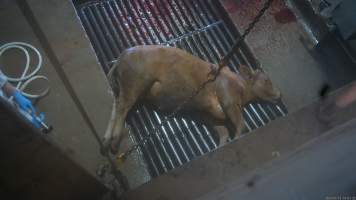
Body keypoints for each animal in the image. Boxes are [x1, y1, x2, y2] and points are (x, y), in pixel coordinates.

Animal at [103, 45, 280, 153]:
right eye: (266, 80)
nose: (279, 94)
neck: (240, 85)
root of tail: (121, 58)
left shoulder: (204, 113)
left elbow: (222, 131)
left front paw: (219, 147)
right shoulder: (228, 99)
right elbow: (240, 124)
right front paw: (237, 139)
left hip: (122, 87)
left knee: (115, 106)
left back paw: (106, 142)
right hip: (135, 82)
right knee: (122, 107)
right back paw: (113, 143)